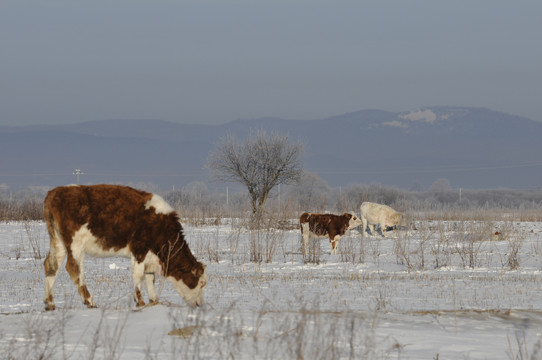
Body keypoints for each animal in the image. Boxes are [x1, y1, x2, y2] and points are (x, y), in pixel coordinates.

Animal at [42, 184, 208, 310]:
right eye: (200, 283)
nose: (200, 304)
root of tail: (55, 192)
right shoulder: (139, 250)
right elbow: (138, 276)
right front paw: (140, 302)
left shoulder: (150, 256)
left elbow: (150, 278)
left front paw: (154, 302)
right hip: (75, 245)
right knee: (74, 269)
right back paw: (90, 302)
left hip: (57, 242)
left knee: (51, 265)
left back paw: (50, 303)